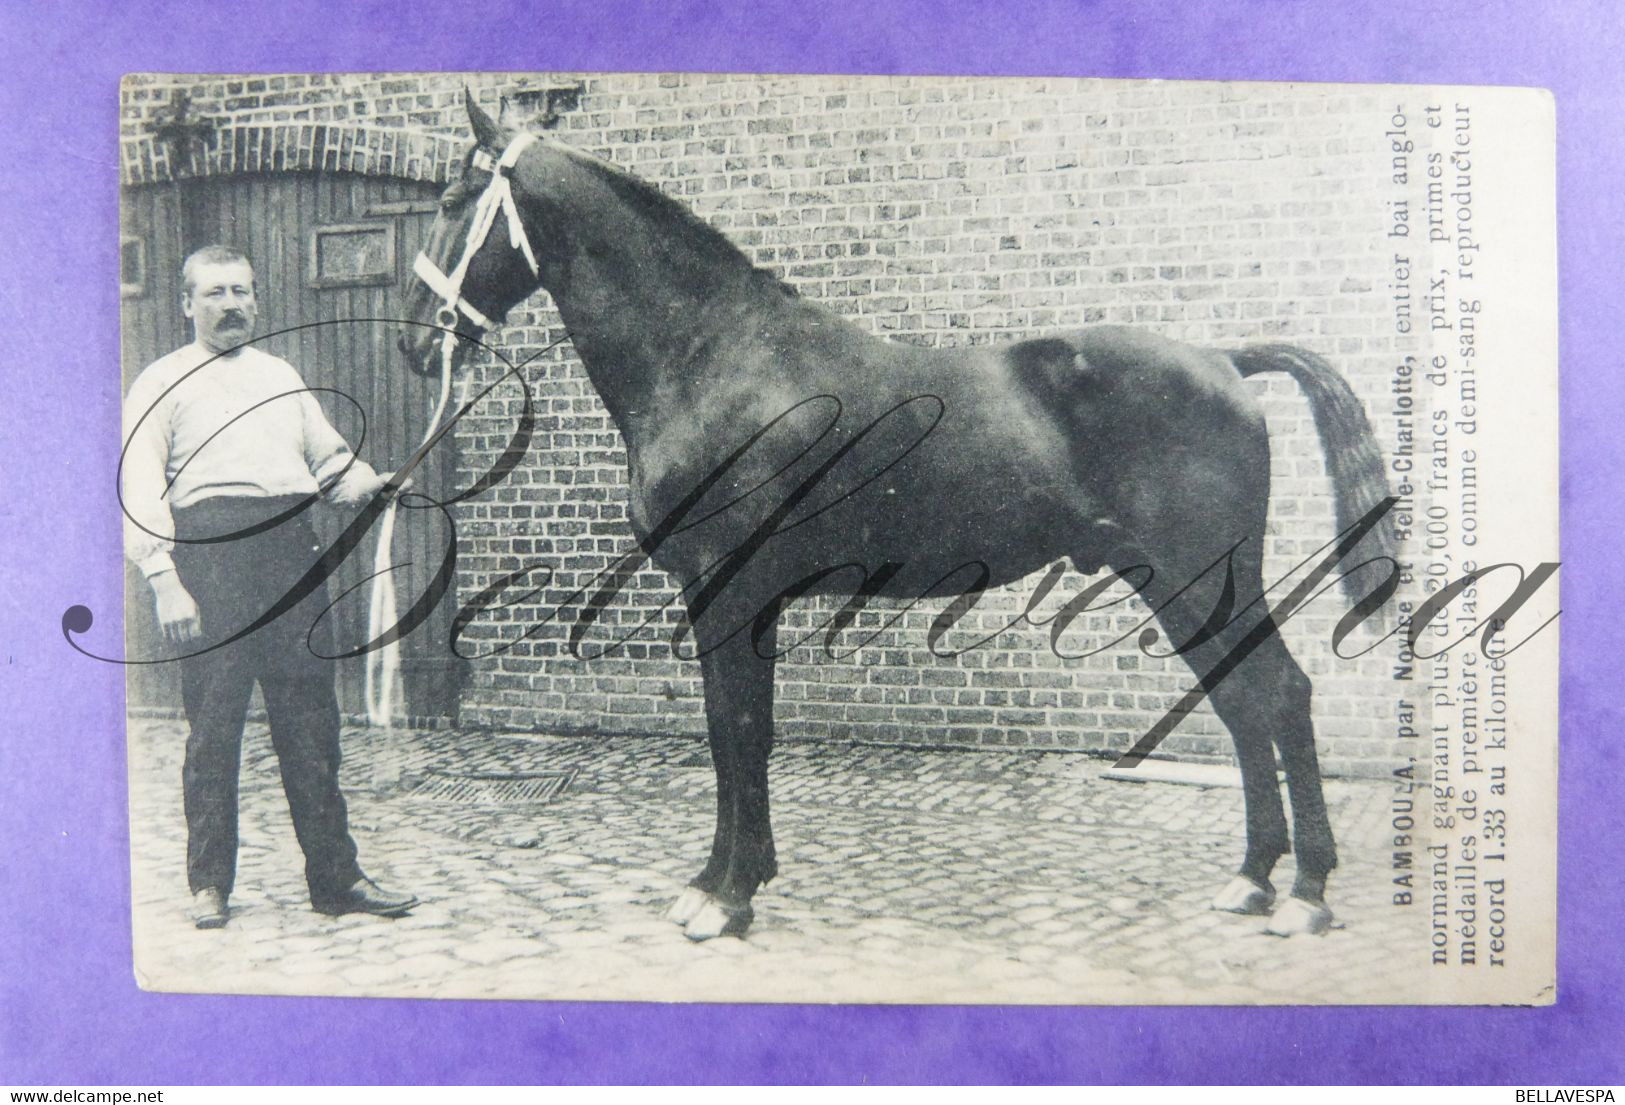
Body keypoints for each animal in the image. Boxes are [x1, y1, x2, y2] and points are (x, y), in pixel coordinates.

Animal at [396, 97, 1397, 942]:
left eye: (450, 198)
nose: (412, 339)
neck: (712, 355)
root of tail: (1222, 360)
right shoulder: (733, 598)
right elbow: (735, 733)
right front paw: (727, 879)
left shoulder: (730, 589)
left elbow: (736, 729)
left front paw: (725, 897)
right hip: (1175, 586)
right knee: (1239, 701)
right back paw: (1252, 878)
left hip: (1205, 576)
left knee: (1279, 694)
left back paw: (1304, 892)